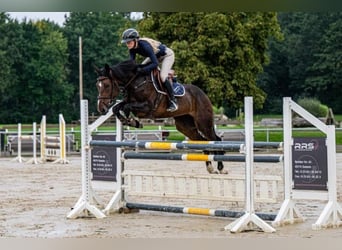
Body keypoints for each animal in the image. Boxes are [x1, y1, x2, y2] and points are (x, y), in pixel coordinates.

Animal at [95, 60, 227, 174]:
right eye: (98, 85)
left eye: (106, 85)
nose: (101, 109)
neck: (135, 82)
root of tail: (203, 93)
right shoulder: (129, 102)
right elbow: (117, 108)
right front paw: (128, 121)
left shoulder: (147, 107)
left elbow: (127, 107)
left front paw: (132, 121)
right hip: (185, 126)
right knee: (203, 140)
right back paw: (210, 167)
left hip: (203, 122)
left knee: (215, 139)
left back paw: (221, 168)